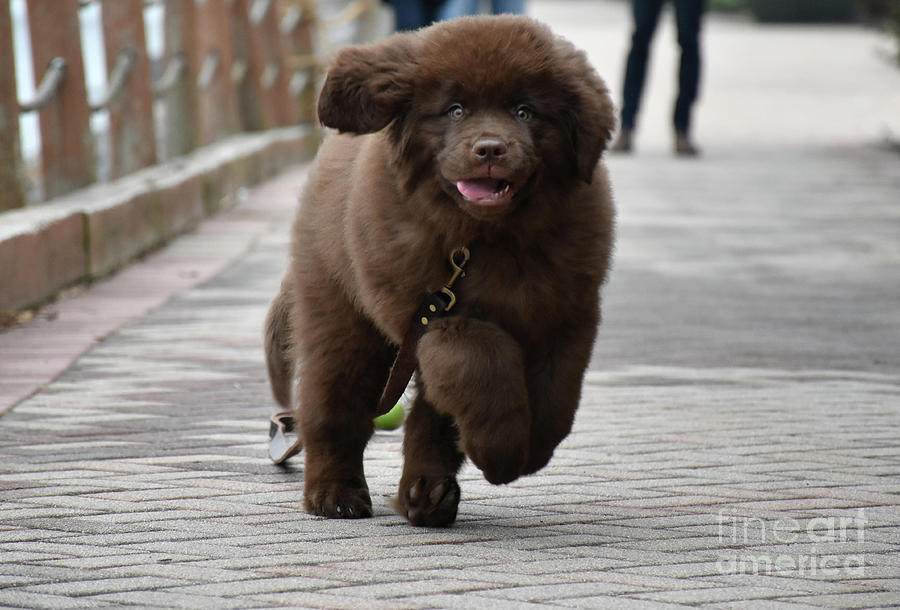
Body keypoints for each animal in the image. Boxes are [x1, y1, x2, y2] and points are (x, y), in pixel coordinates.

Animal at [264, 16, 616, 524]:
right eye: (455, 110)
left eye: (525, 112)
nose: (489, 149)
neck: (487, 240)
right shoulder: (437, 315)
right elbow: (481, 361)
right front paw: (500, 451)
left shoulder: (563, 313)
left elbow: (556, 396)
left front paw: (527, 451)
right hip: (342, 313)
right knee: (332, 404)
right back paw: (335, 494)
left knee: (427, 415)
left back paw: (426, 494)